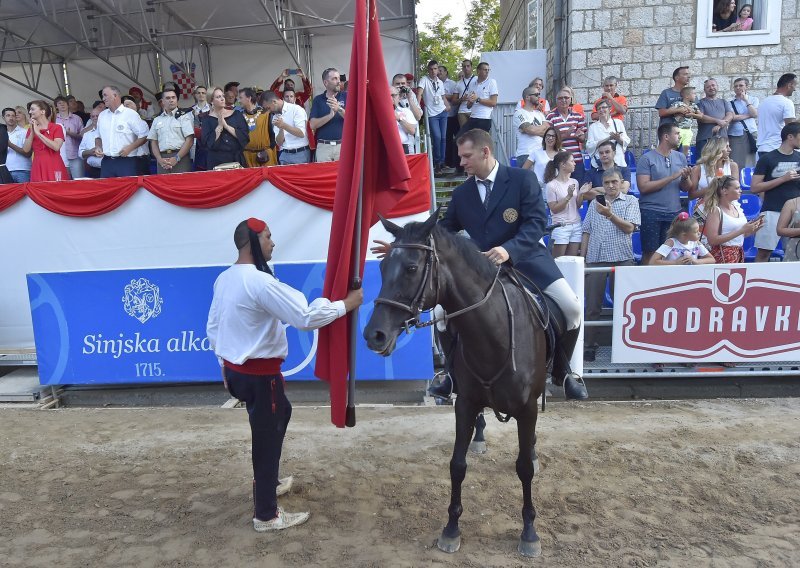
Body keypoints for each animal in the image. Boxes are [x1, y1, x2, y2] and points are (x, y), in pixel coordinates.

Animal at [364, 211, 548, 556]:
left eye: (411, 268)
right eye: (381, 268)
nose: (374, 335)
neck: (494, 334)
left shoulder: (528, 408)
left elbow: (524, 469)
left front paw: (529, 532)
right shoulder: (464, 404)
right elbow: (457, 466)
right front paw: (451, 529)